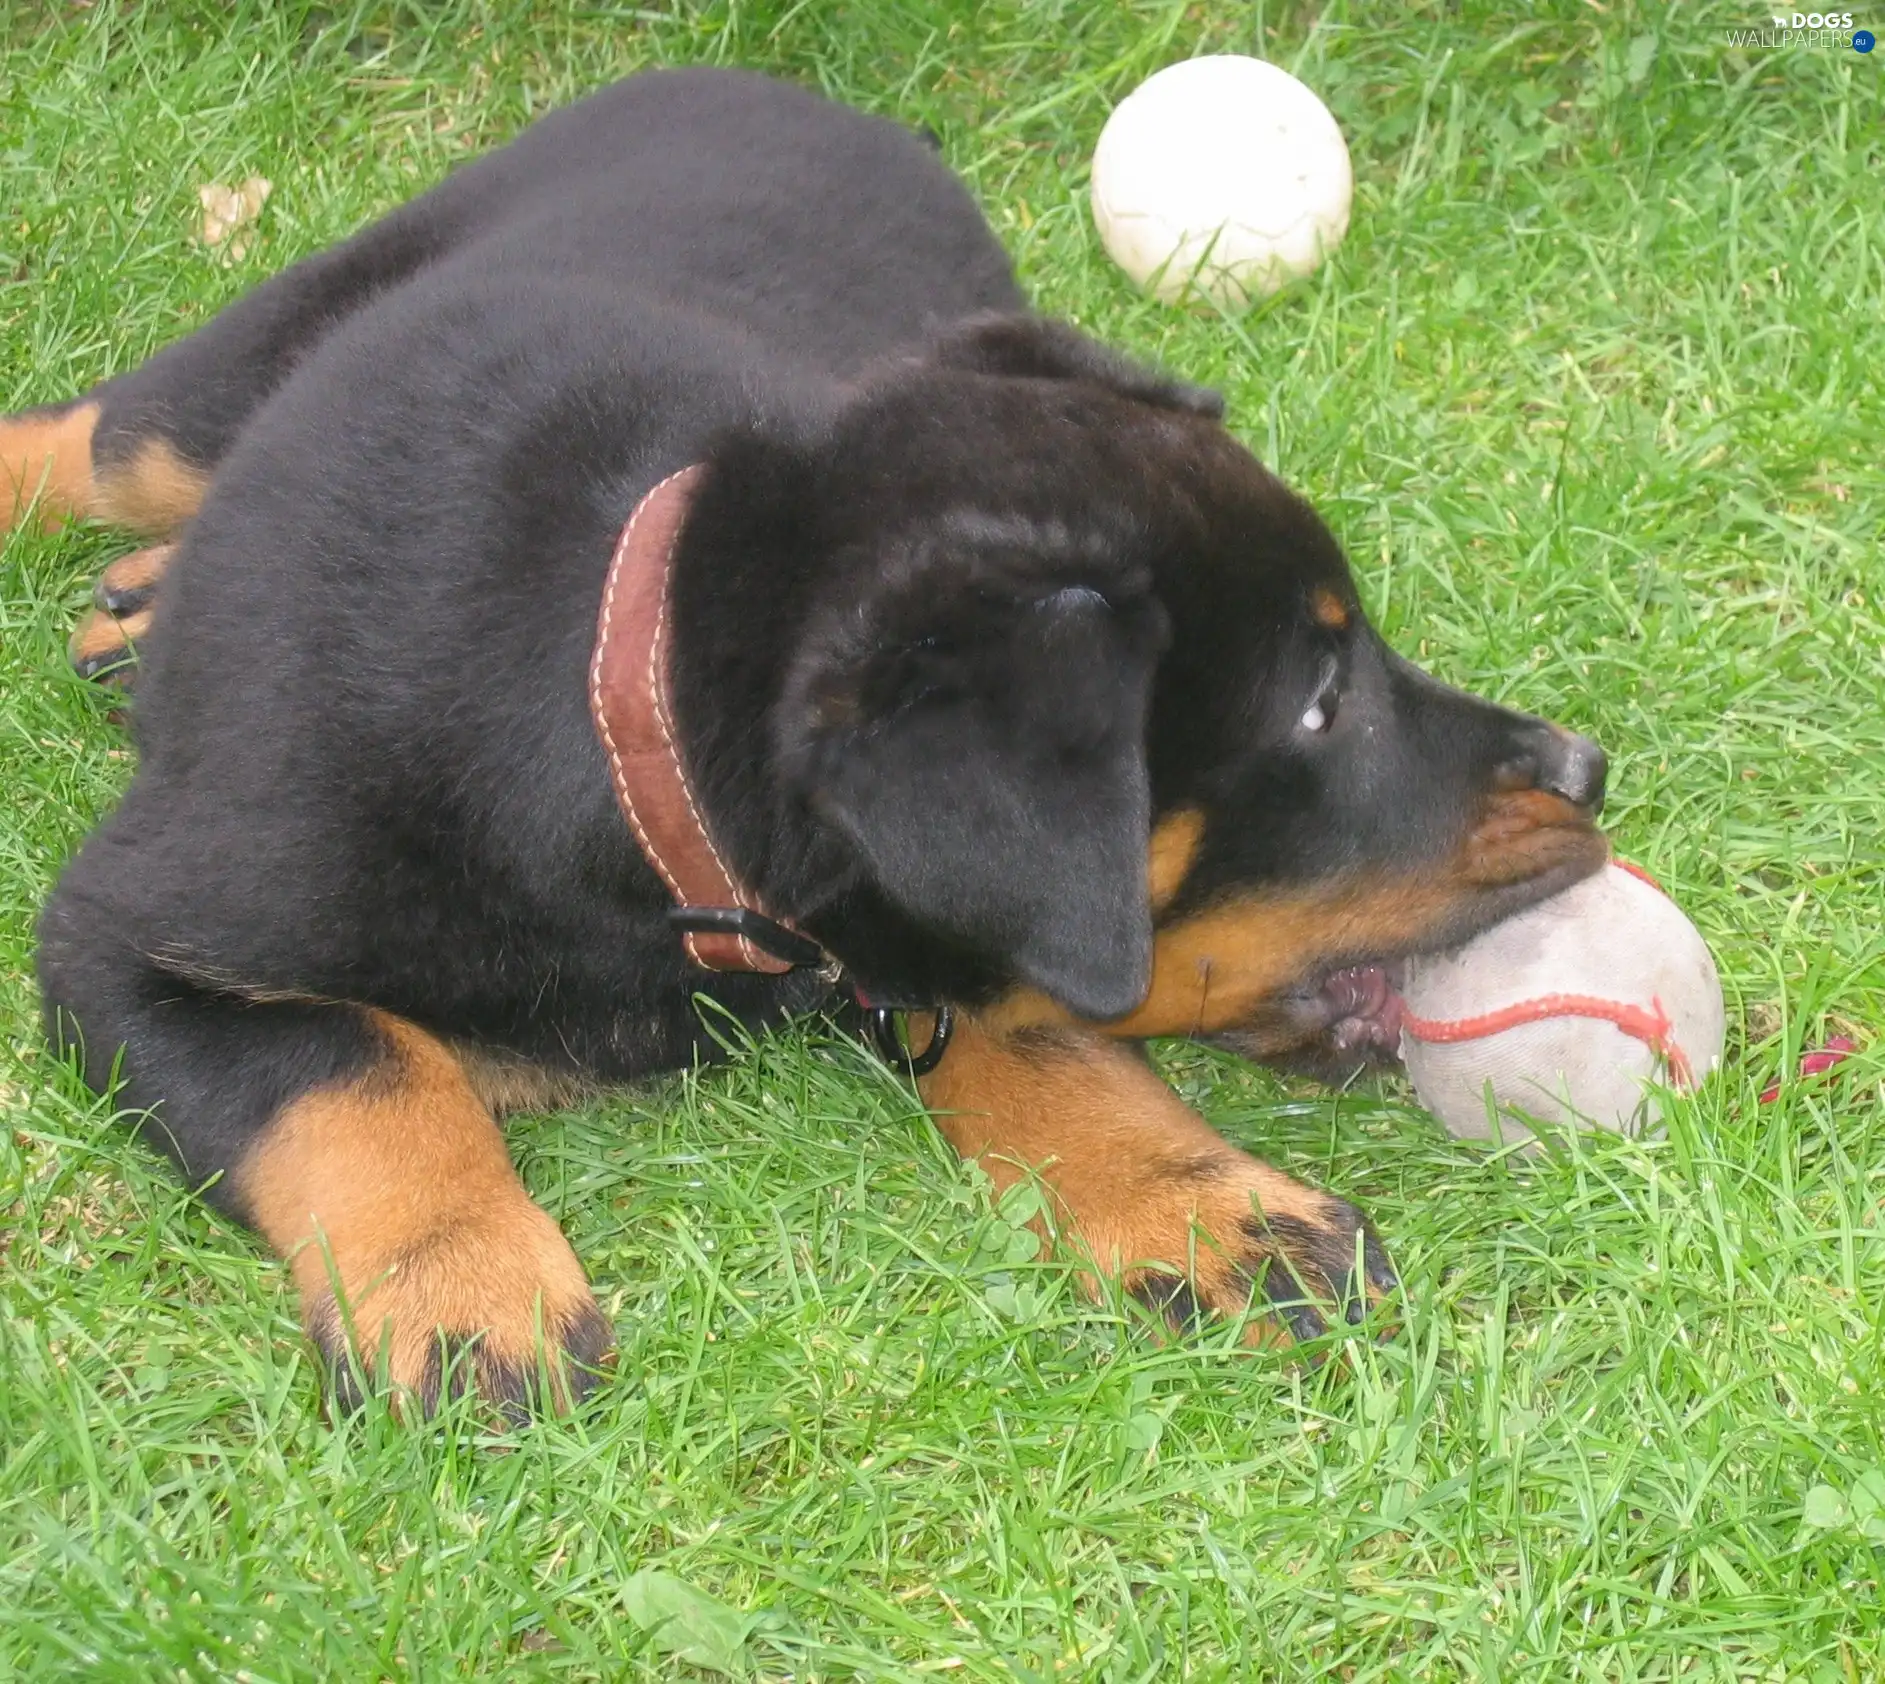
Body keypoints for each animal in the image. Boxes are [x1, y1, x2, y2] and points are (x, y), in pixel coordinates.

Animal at [3, 72, 1606, 1418]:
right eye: (1323, 704)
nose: (1587, 774)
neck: (622, 719)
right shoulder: (123, 938)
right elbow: (358, 1068)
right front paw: (465, 1294)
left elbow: (1027, 1020)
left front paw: (1201, 1204)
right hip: (253, 360)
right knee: (85, 440)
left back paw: (139, 607)